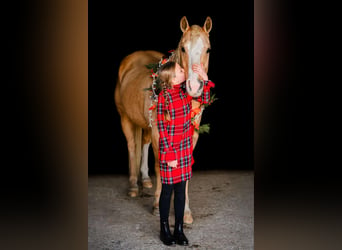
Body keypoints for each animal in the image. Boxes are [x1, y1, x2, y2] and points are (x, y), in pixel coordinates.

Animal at [113, 16, 212, 225]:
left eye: (207, 49)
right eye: (183, 48)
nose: (194, 87)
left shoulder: (192, 135)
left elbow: (185, 167)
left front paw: (186, 211)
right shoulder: (160, 134)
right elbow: (160, 167)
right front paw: (158, 206)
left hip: (146, 126)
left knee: (143, 143)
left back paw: (144, 180)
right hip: (125, 118)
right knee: (132, 146)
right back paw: (133, 186)